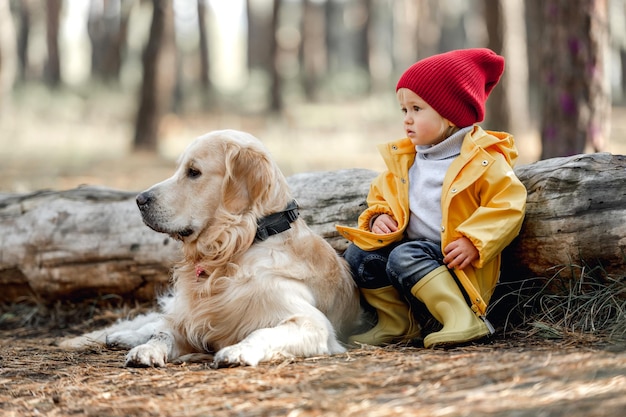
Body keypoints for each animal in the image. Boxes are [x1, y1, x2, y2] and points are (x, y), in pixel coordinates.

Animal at [61, 128, 360, 366]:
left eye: (194, 172)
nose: (139, 200)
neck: (239, 245)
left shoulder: (312, 323)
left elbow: (262, 331)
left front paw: (237, 351)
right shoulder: (190, 318)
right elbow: (163, 333)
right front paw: (146, 349)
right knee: (156, 321)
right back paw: (124, 336)